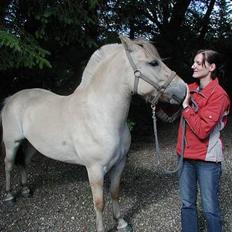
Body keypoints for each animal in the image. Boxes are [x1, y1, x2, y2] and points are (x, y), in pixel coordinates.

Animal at [0, 35, 186, 231]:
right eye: (153, 63)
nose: (184, 89)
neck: (100, 115)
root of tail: (11, 99)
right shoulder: (95, 170)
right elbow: (99, 203)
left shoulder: (120, 163)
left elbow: (115, 192)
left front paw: (121, 222)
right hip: (11, 143)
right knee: (9, 165)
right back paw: (9, 196)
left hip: (30, 145)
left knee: (23, 163)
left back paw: (25, 189)